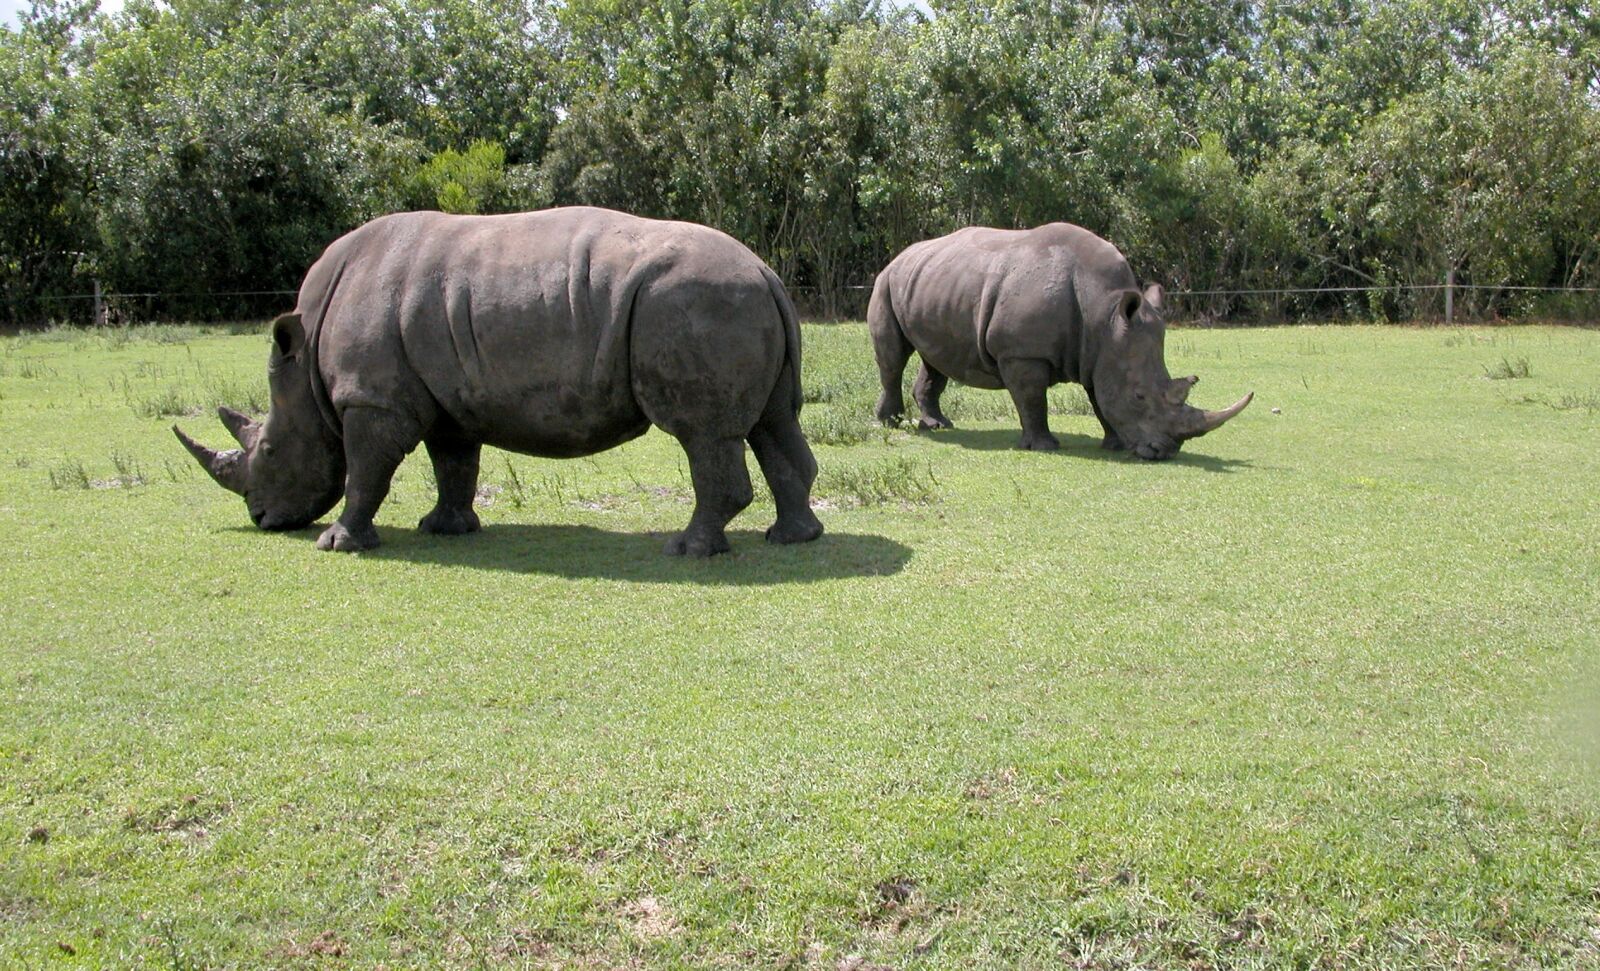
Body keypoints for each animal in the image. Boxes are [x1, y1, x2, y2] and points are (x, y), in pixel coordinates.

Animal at [175, 207, 824, 557]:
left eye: (269, 449)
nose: (263, 519)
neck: (305, 363)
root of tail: (765, 270)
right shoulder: (446, 397)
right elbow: (454, 464)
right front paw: (445, 530)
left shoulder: (371, 398)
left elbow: (365, 471)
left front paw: (337, 543)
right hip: (733, 302)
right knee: (771, 424)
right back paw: (791, 539)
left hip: (697, 302)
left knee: (703, 435)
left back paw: (688, 551)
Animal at [868, 223, 1252, 459]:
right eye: (1139, 396)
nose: (1164, 452)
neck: (1104, 313)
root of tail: (902, 254)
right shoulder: (1023, 353)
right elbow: (1033, 400)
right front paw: (1044, 446)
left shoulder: (1101, 353)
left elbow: (1099, 398)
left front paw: (1113, 444)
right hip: (886, 281)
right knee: (894, 357)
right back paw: (893, 423)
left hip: (933, 285)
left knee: (935, 358)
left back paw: (938, 425)